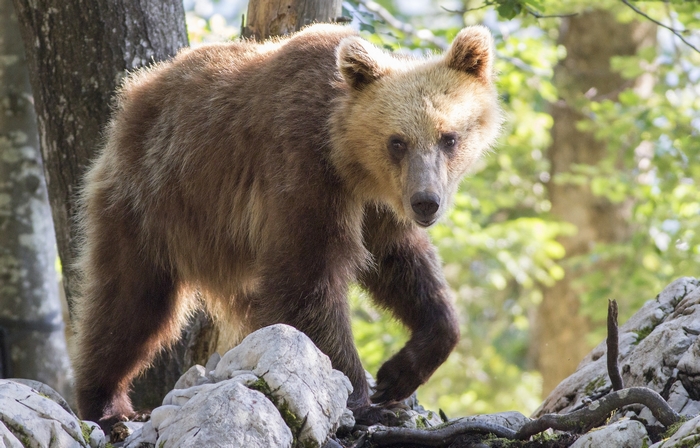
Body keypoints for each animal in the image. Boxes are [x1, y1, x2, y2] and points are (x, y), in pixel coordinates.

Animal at [72, 22, 504, 428]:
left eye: (449, 137)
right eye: (396, 142)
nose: (426, 202)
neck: (349, 160)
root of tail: (136, 90)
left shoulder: (379, 207)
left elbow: (403, 265)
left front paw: (397, 374)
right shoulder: (304, 168)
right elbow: (307, 279)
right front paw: (362, 400)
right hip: (153, 200)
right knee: (131, 301)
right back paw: (108, 405)